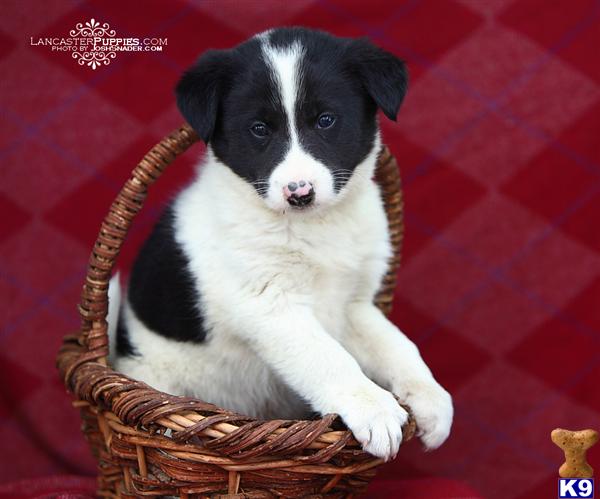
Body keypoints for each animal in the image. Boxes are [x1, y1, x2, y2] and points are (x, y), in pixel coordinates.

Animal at [109, 28, 454, 460]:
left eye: (326, 120)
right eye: (259, 128)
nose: (299, 192)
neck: (315, 227)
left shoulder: (353, 305)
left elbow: (398, 346)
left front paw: (432, 402)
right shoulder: (271, 305)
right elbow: (328, 358)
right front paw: (374, 408)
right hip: (156, 377)